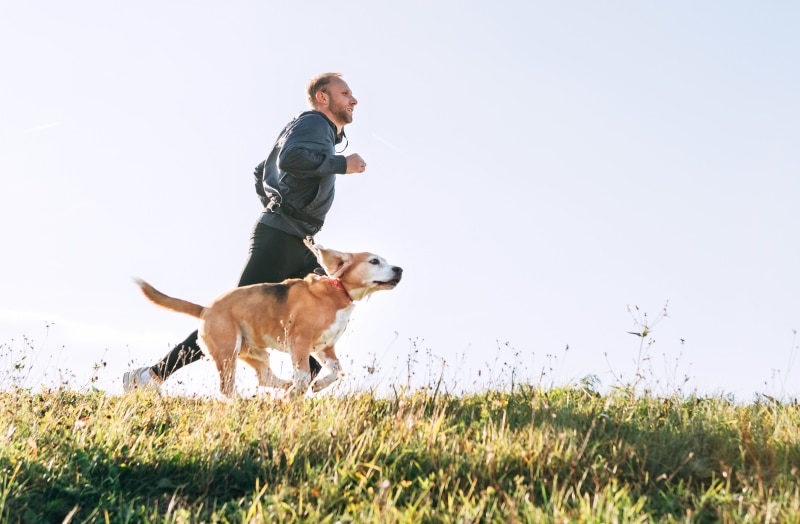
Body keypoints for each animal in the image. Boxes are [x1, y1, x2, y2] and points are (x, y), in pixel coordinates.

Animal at [134, 242, 404, 398]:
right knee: (227, 389)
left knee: (265, 377)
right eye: (374, 261)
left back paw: (285, 387)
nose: (399, 269)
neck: (337, 292)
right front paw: (301, 389)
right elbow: (304, 374)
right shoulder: (300, 341)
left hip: (256, 353)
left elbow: (337, 370)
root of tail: (205, 309)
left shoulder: (324, 347)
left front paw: (317, 386)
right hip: (228, 351)